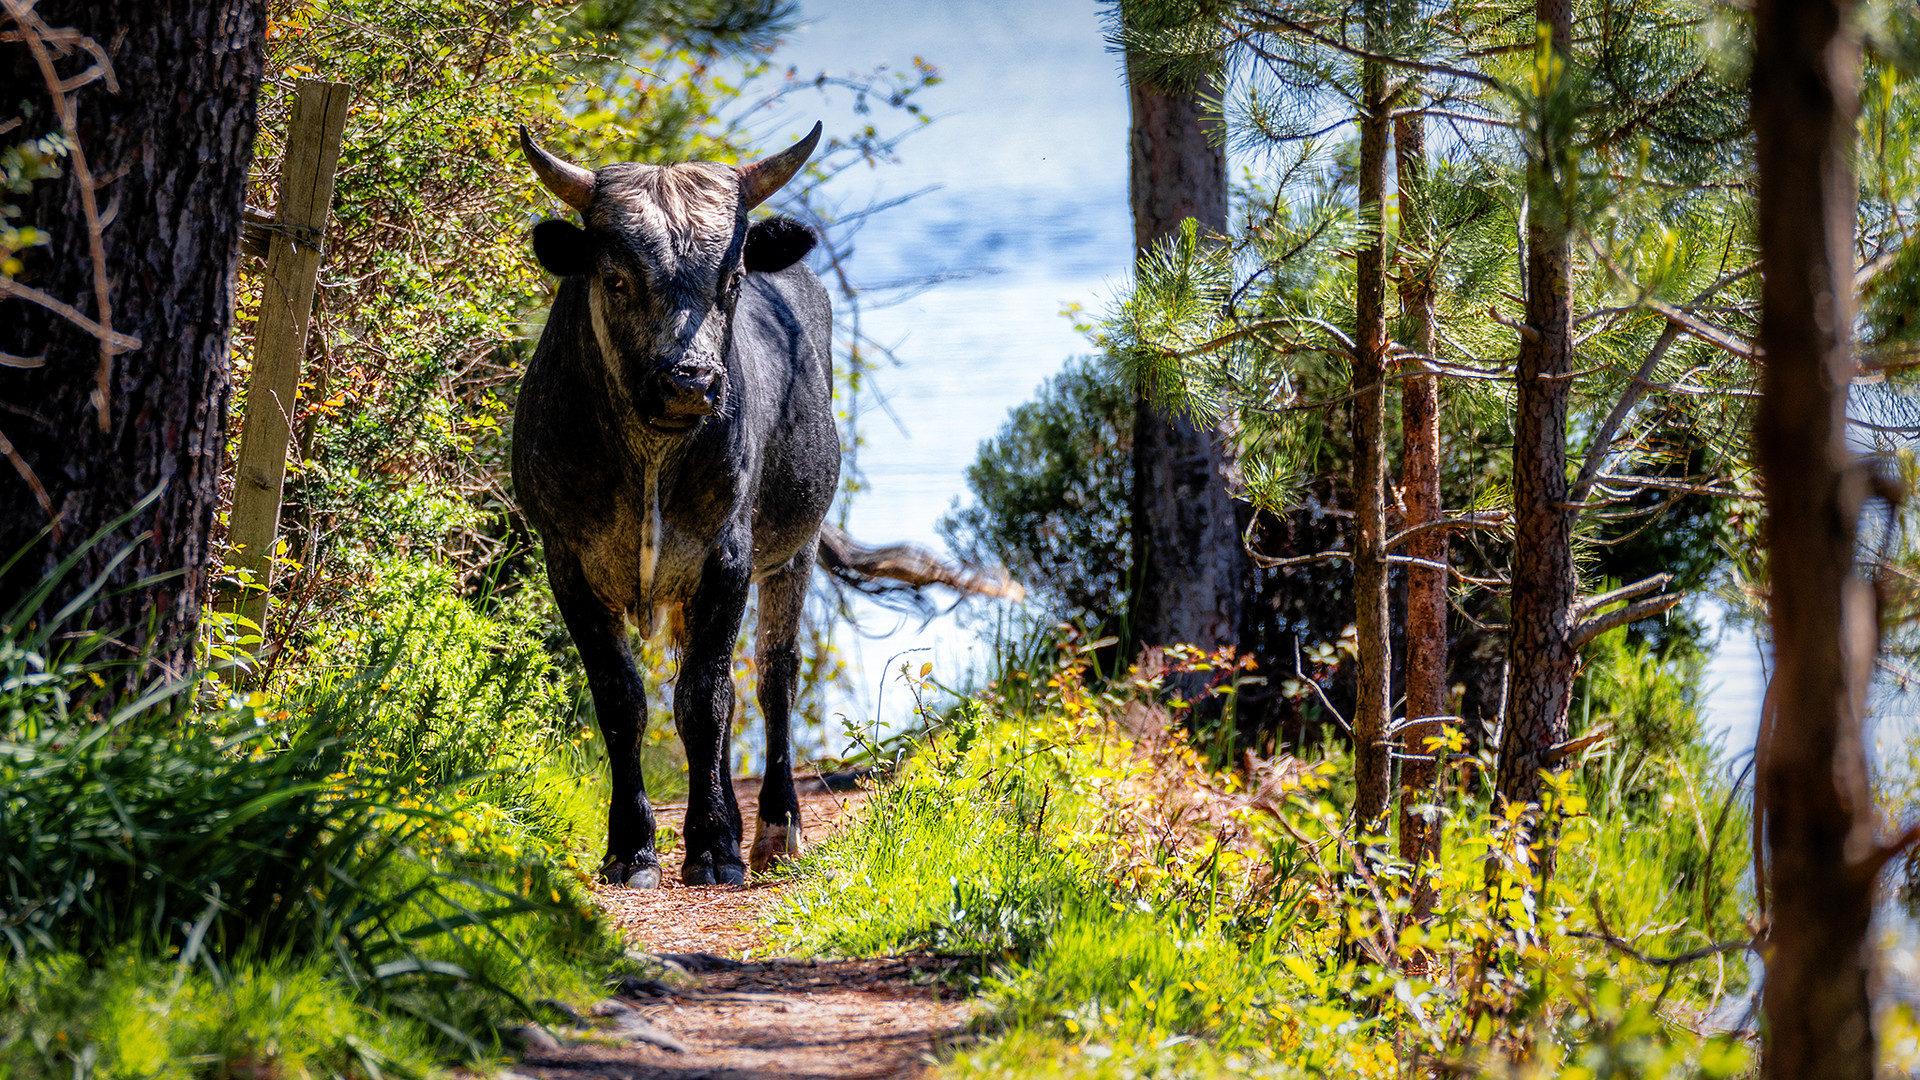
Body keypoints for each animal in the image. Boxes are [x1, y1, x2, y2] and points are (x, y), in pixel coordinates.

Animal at [518, 125, 1013, 883]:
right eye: (617, 279)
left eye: (730, 281)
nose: (691, 380)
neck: (651, 457)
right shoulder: (566, 560)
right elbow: (622, 699)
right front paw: (632, 846)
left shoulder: (726, 552)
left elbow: (705, 699)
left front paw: (713, 845)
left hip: (792, 549)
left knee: (772, 676)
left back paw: (775, 827)